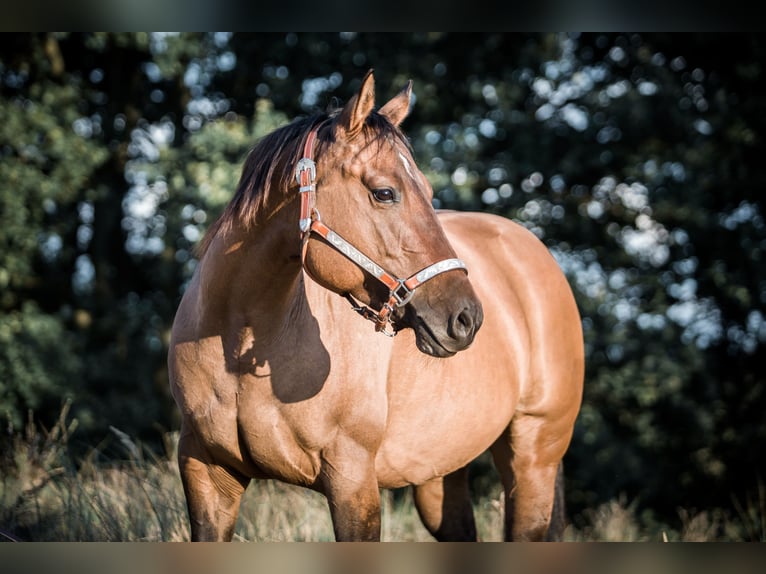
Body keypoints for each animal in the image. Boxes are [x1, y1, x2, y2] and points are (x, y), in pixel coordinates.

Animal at [168, 70, 584, 542]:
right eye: (384, 193)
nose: (467, 318)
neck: (241, 340)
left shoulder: (353, 481)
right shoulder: (205, 473)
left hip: (534, 455)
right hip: (439, 475)